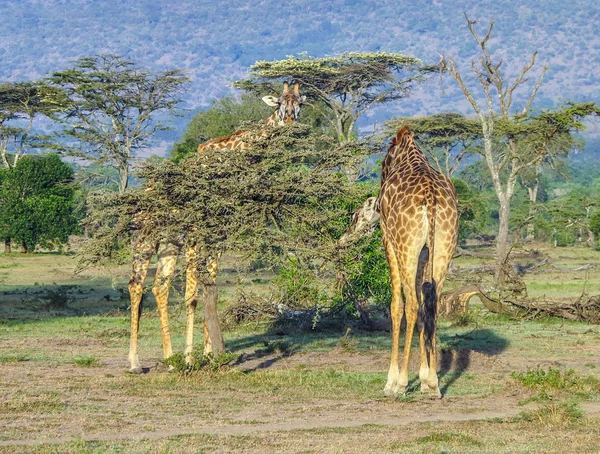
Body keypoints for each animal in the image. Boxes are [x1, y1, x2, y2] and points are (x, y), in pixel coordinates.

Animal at [126, 81, 304, 372]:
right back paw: (136, 363)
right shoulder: (197, 233)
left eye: (300, 103)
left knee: (159, 287)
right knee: (136, 285)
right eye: (279, 103)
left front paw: (210, 356)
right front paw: (190, 358)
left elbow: (212, 291)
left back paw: (169, 359)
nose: (289, 121)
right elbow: (192, 295)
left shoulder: (219, 234)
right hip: (145, 239)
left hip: (169, 242)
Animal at [380, 125, 460, 398]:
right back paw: (434, 383)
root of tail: (431, 197)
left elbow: (396, 304)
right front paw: (425, 379)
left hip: (406, 246)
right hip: (444, 246)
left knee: (413, 304)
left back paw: (401, 384)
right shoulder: (425, 251)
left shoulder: (388, 240)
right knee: (432, 302)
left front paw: (392, 381)